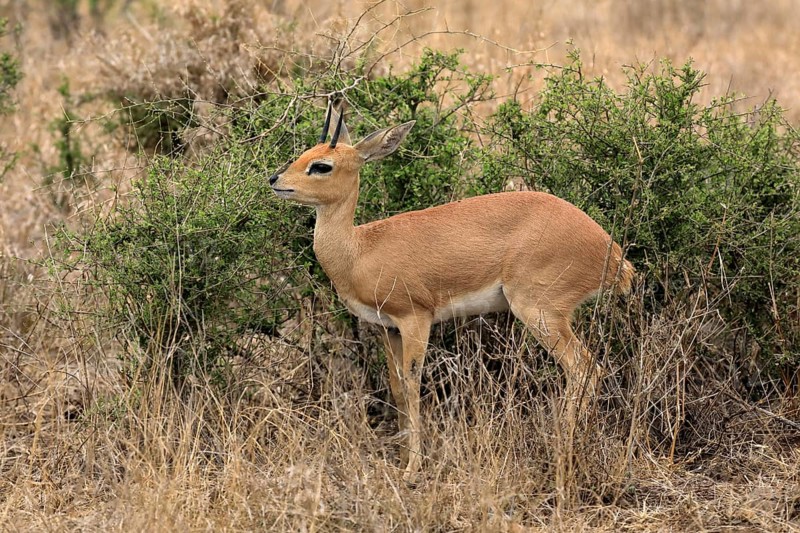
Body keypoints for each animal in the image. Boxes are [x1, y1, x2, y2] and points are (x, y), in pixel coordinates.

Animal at [269, 102, 634, 480]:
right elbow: (397, 389)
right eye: (304, 153)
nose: (275, 181)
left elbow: (414, 387)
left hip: (539, 312)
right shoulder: (388, 328)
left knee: (584, 368)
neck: (359, 250)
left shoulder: (415, 319)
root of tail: (614, 255)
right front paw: (402, 458)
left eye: (321, 165)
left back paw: (564, 450)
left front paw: (412, 468)